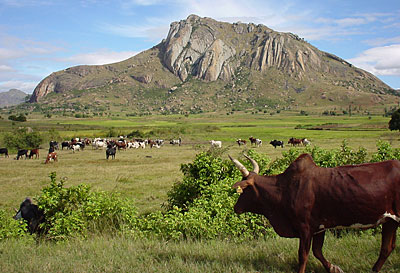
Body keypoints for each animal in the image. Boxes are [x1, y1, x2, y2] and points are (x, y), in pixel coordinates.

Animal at [228, 153, 400, 272]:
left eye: (244, 190)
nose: (236, 207)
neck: (284, 189)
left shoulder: (305, 228)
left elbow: (303, 255)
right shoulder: (319, 228)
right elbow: (318, 252)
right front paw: (334, 268)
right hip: (390, 221)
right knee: (386, 248)